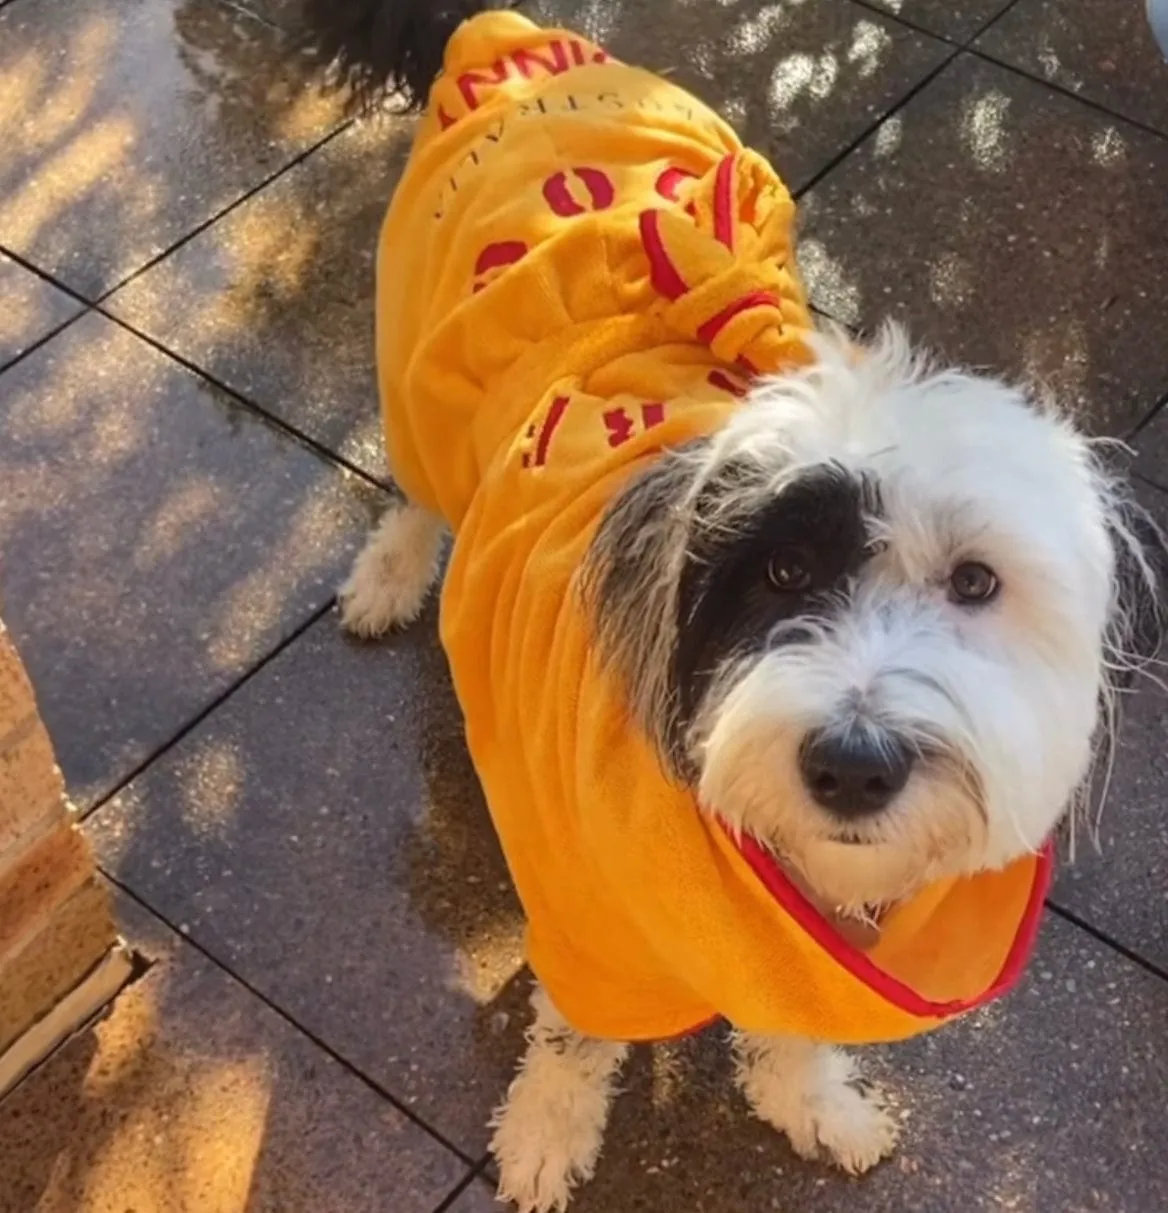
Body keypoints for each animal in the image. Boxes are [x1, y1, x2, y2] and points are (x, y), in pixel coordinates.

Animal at [297, 4, 1164, 1208]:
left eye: (975, 582)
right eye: (782, 574)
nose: (853, 765)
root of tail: (509, 36)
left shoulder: (793, 943)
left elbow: (790, 1020)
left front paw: (809, 1100)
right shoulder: (592, 917)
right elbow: (574, 1035)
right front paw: (547, 1129)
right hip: (417, 365)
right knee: (416, 488)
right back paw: (389, 571)